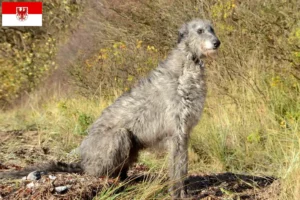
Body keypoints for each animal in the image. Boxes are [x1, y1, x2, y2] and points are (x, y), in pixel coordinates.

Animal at [0, 18, 220, 198]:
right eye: (200, 30)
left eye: (212, 29)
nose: (217, 42)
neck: (186, 67)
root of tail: (84, 162)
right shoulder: (176, 133)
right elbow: (177, 169)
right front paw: (177, 193)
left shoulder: (184, 133)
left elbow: (182, 166)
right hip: (119, 136)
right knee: (100, 171)